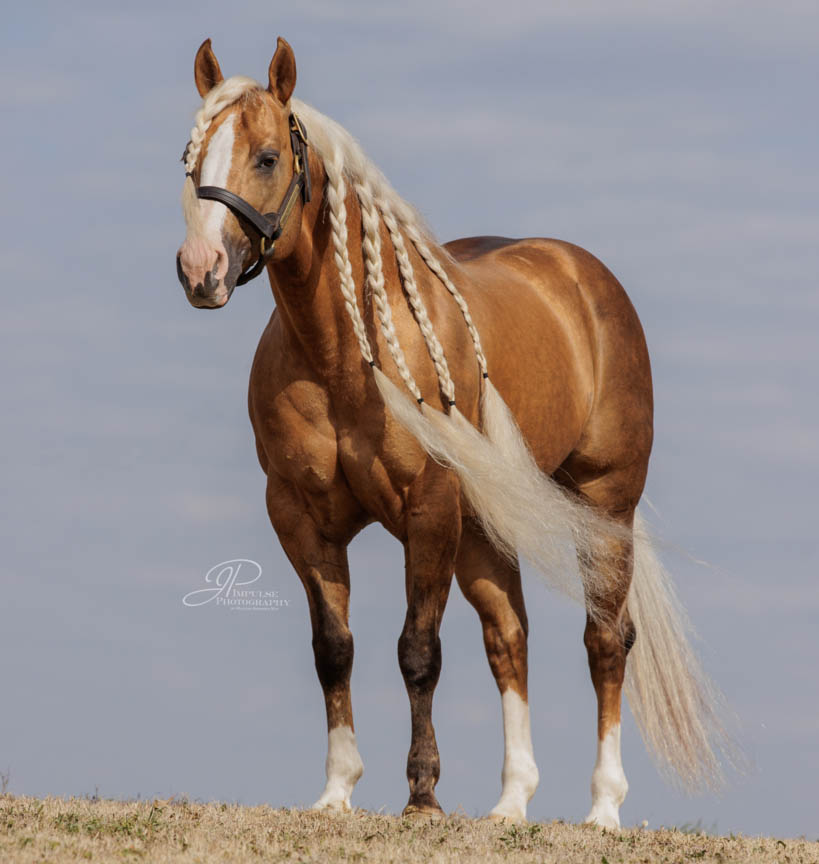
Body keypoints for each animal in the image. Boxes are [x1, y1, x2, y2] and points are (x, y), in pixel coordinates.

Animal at [176, 37, 728, 828]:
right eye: (189, 159)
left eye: (267, 156)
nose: (202, 273)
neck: (346, 354)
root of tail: (581, 277)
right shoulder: (299, 515)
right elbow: (334, 649)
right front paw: (337, 790)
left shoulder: (427, 508)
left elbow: (418, 651)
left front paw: (422, 795)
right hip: (485, 529)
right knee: (510, 639)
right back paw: (510, 802)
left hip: (604, 506)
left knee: (604, 641)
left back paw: (602, 808)